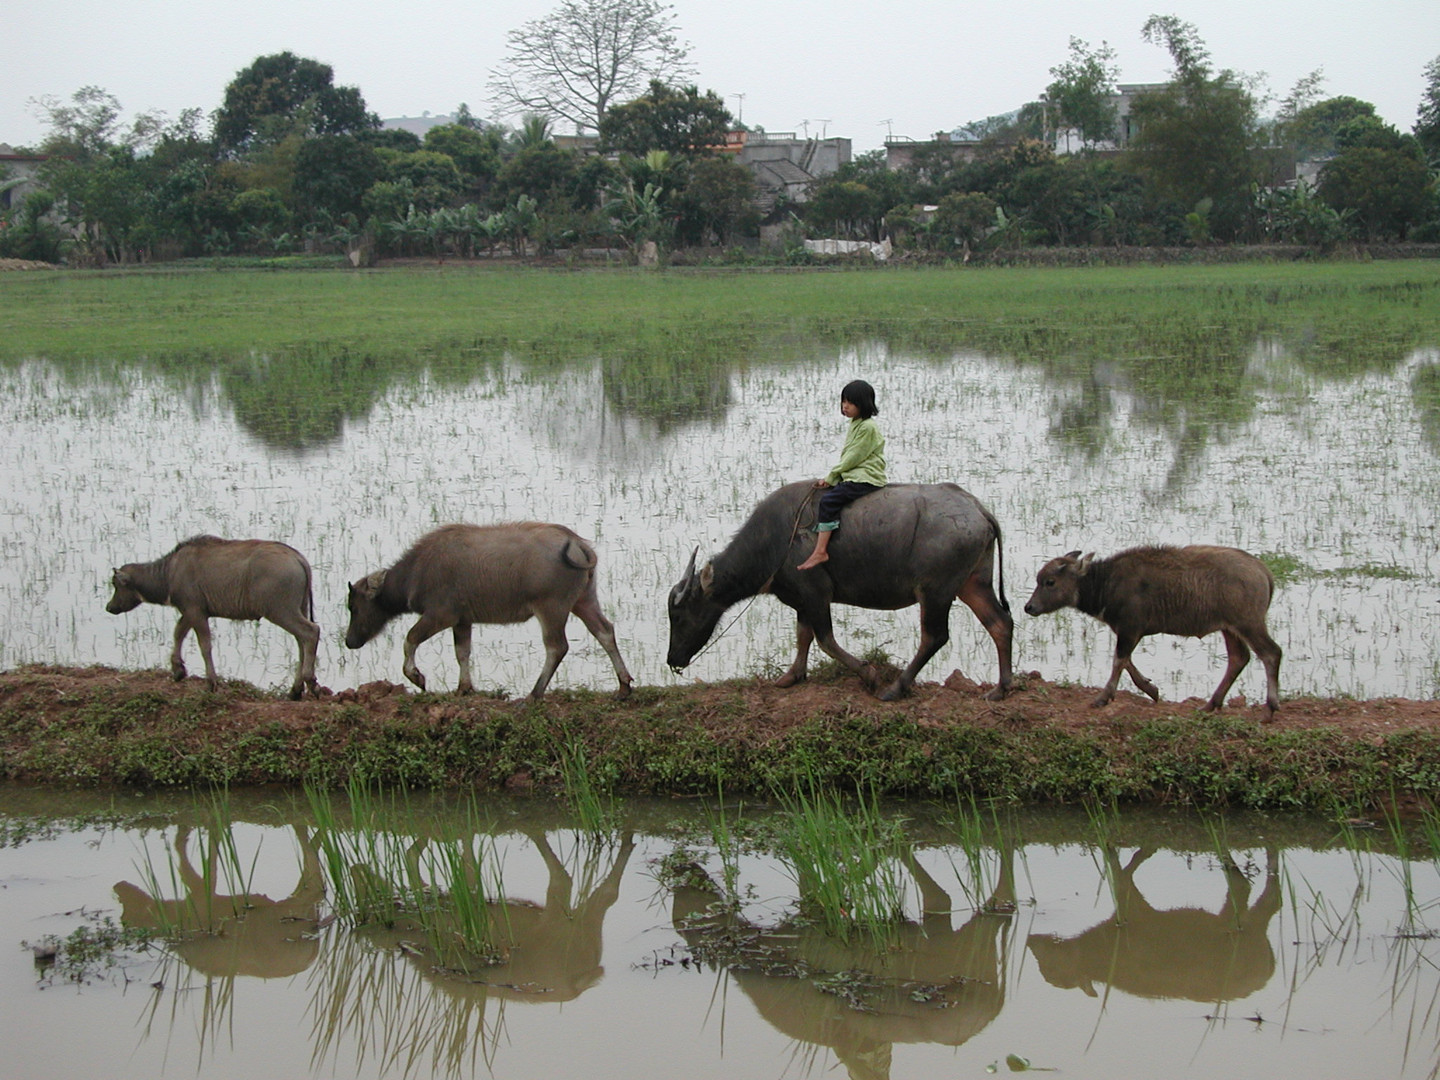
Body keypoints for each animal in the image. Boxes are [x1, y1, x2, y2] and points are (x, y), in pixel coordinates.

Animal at [105, 535, 319, 702]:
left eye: (116, 584)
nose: (109, 607)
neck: (170, 571)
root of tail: (298, 557)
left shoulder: (195, 612)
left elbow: (204, 645)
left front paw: (211, 682)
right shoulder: (190, 612)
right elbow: (178, 633)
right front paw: (178, 669)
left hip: (280, 611)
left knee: (311, 632)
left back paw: (310, 682)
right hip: (297, 608)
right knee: (301, 641)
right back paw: (295, 690)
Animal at [345, 524, 633, 702]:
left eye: (354, 607)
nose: (349, 641)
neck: (416, 572)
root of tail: (578, 544)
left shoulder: (440, 615)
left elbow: (410, 639)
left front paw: (418, 678)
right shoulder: (463, 620)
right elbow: (462, 652)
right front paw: (464, 688)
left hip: (552, 607)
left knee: (557, 647)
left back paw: (534, 693)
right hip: (583, 600)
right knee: (604, 631)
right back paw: (623, 686)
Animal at [665, 480, 1013, 702]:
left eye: (679, 616)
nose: (672, 660)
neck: (778, 539)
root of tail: (978, 511)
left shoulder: (816, 594)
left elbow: (825, 640)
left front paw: (868, 674)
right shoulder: (803, 601)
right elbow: (803, 636)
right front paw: (791, 677)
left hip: (935, 591)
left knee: (934, 636)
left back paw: (894, 688)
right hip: (973, 584)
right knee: (1000, 624)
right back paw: (1000, 689)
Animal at [1025, 550, 1284, 720]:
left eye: (1050, 581)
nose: (1030, 607)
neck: (1107, 582)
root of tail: (1263, 571)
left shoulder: (1130, 629)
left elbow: (1119, 660)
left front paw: (1103, 698)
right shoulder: (1127, 631)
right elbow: (1126, 661)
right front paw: (1151, 689)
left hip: (1248, 623)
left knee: (1271, 653)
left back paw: (1270, 708)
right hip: (1229, 629)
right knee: (1239, 658)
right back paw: (1210, 705)